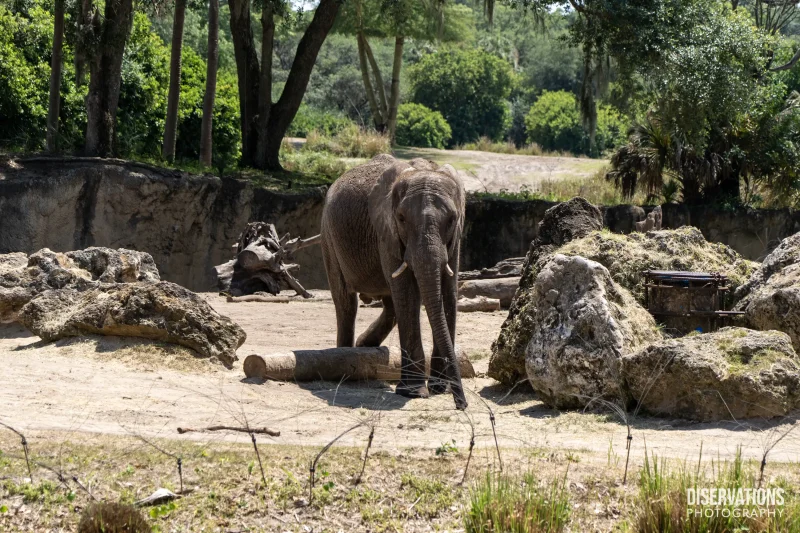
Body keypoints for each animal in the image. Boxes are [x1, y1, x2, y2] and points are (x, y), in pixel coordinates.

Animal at [320, 152, 468, 410]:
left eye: (452, 219)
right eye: (401, 218)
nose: (462, 405)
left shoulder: (455, 238)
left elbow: (448, 292)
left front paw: (440, 389)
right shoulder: (386, 231)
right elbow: (408, 293)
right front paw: (413, 393)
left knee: (390, 305)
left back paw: (364, 346)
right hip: (328, 235)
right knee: (346, 302)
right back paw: (344, 358)